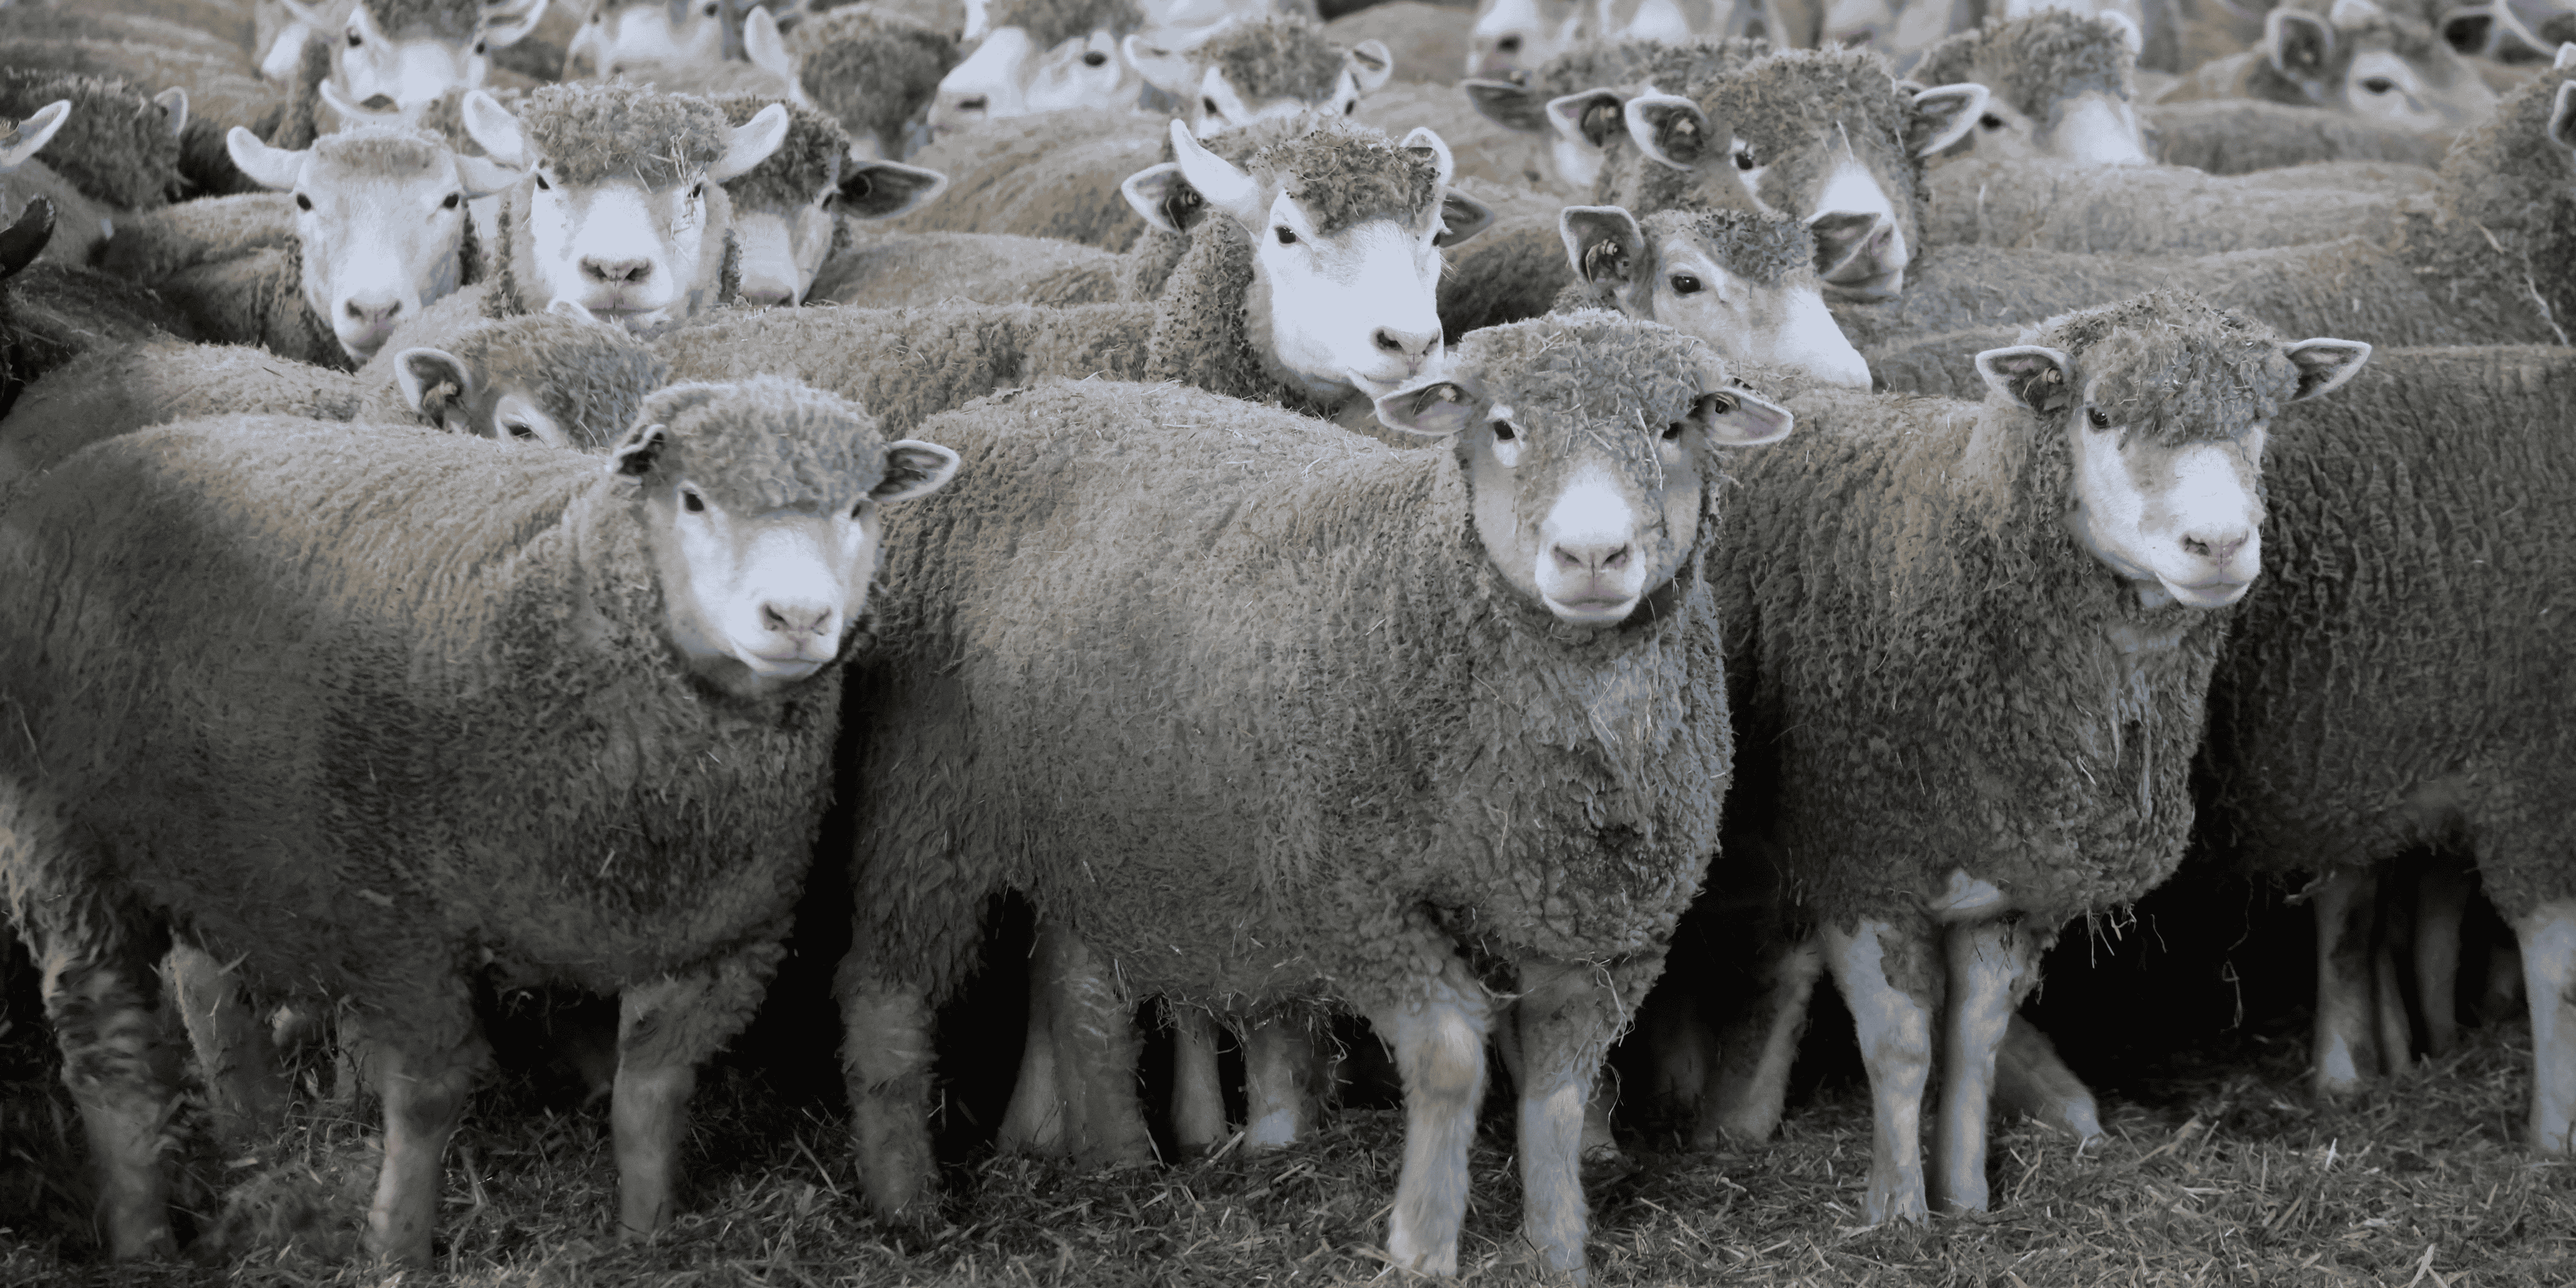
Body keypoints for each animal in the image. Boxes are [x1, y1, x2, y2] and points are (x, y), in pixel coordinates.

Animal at [0, 374, 961, 1264]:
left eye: (860, 505)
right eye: (692, 498)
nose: (799, 618)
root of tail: (97, 459)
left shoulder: (720, 945)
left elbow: (648, 1093)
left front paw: (645, 1233)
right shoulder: (403, 926)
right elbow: (426, 1100)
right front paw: (396, 1246)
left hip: (218, 840)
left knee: (205, 983)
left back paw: (254, 1125)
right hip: (63, 842)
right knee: (109, 1047)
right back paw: (142, 1239)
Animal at [834, 312, 1792, 1280]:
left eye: (1673, 428)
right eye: (1504, 428)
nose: (1591, 556)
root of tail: (991, 408)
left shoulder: (1605, 936)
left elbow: (1559, 1093)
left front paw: (1557, 1247)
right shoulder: (1351, 893)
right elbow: (1451, 1056)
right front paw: (1421, 1244)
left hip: (1097, 818)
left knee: (1076, 981)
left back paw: (1115, 1159)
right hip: (925, 794)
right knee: (888, 987)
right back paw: (907, 1202)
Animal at [1704, 291, 2369, 1223]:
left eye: (2261, 420)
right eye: (2099, 415)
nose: (2220, 547)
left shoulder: (2009, 886)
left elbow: (1973, 1041)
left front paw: (1967, 1199)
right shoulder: (1862, 859)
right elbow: (1902, 1045)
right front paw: (1899, 1215)